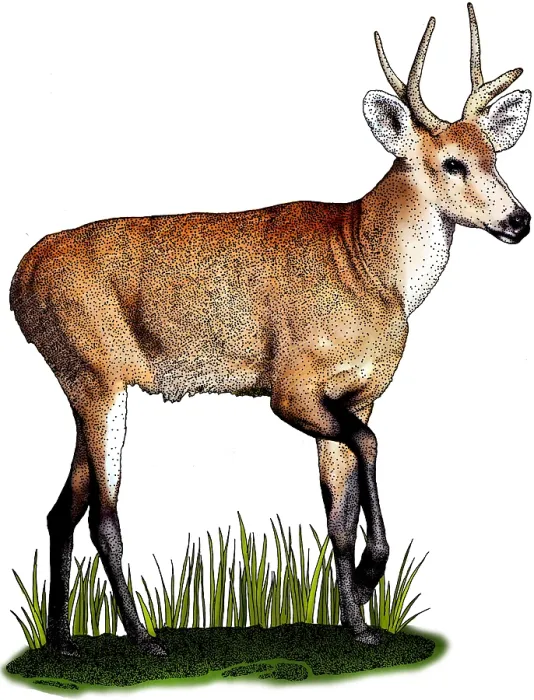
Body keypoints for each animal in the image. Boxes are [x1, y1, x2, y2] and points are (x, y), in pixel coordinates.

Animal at [9, 3, 530, 656]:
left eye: (495, 157)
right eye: (451, 162)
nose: (519, 220)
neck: (370, 266)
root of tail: (19, 279)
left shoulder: (358, 394)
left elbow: (339, 511)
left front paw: (359, 624)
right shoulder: (292, 386)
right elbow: (369, 447)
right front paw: (371, 574)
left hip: (91, 381)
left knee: (63, 509)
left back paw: (64, 642)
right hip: (97, 374)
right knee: (104, 513)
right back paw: (144, 640)